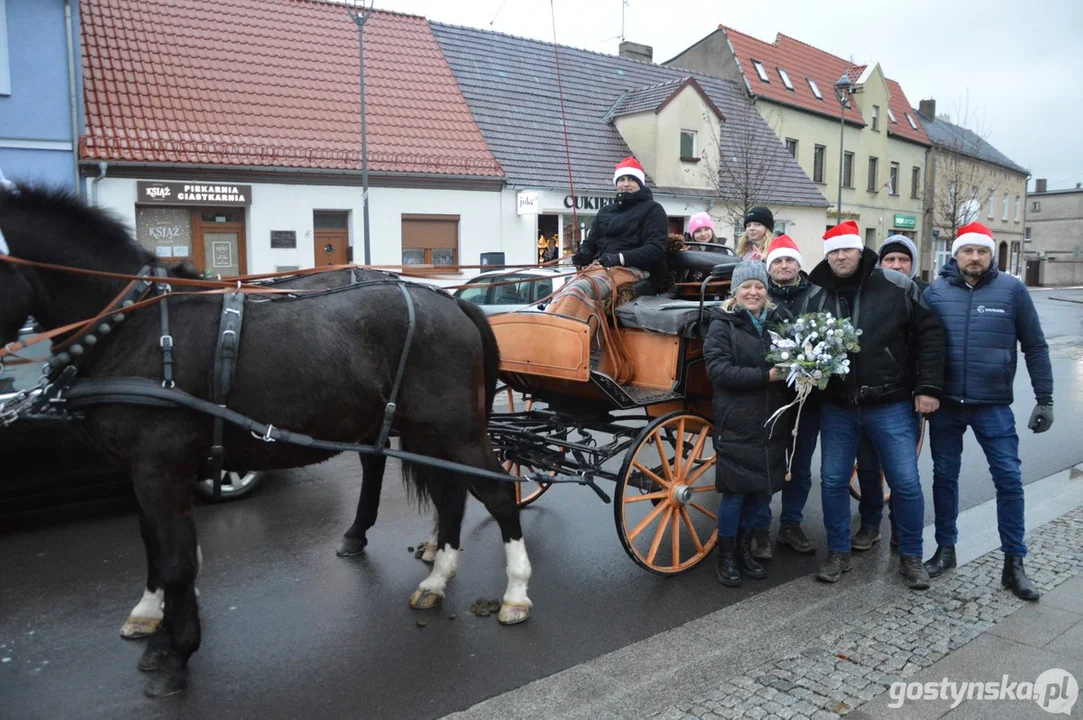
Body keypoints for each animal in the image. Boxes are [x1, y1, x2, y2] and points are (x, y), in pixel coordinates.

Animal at [0, 185, 532, 697]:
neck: (136, 328)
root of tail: (453, 301)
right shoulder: (142, 471)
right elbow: (154, 545)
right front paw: (155, 623)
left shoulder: (161, 467)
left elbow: (176, 561)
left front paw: (176, 653)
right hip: (424, 432)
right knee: (450, 492)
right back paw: (437, 577)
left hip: (454, 431)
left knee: (497, 492)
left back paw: (515, 592)